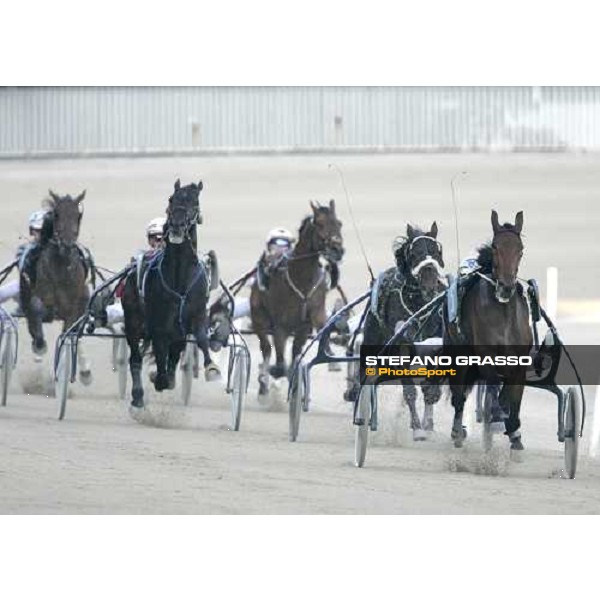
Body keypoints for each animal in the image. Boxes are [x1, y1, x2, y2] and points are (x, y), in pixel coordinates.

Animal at [20, 192, 93, 384]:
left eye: (77, 215)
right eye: (56, 214)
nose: (67, 244)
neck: (61, 269)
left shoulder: (73, 307)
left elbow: (69, 332)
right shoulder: (37, 297)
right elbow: (36, 309)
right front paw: (40, 347)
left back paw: (85, 371)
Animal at [250, 200, 344, 398]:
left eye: (339, 223)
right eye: (320, 224)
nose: (337, 250)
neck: (301, 278)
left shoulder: (311, 317)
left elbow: (319, 331)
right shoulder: (280, 325)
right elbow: (279, 363)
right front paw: (274, 373)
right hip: (258, 317)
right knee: (266, 348)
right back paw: (264, 382)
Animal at [350, 223, 442, 438]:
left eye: (436, 251)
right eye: (415, 254)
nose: (429, 283)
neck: (418, 304)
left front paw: (430, 406)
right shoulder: (401, 344)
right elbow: (409, 390)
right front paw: (417, 428)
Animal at [442, 211, 532, 450]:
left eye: (520, 249)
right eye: (495, 247)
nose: (506, 287)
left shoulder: (519, 361)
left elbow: (513, 396)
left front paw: (514, 432)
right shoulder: (484, 355)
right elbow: (493, 383)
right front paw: (498, 416)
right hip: (457, 354)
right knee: (458, 396)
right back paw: (457, 431)